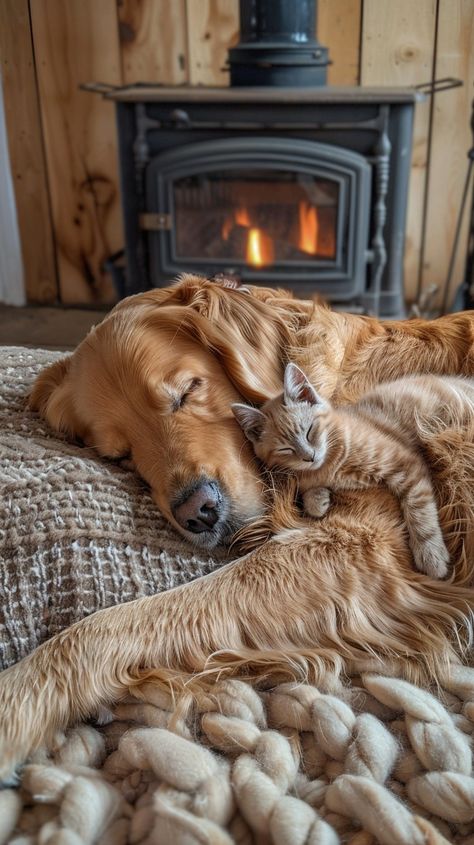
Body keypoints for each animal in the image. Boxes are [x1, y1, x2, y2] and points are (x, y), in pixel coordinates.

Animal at [232, 362, 474, 580]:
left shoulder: (405, 463)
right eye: (285, 449)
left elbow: (419, 510)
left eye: (310, 431)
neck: (330, 465)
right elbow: (309, 493)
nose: (309, 456)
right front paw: (317, 500)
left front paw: (431, 556)